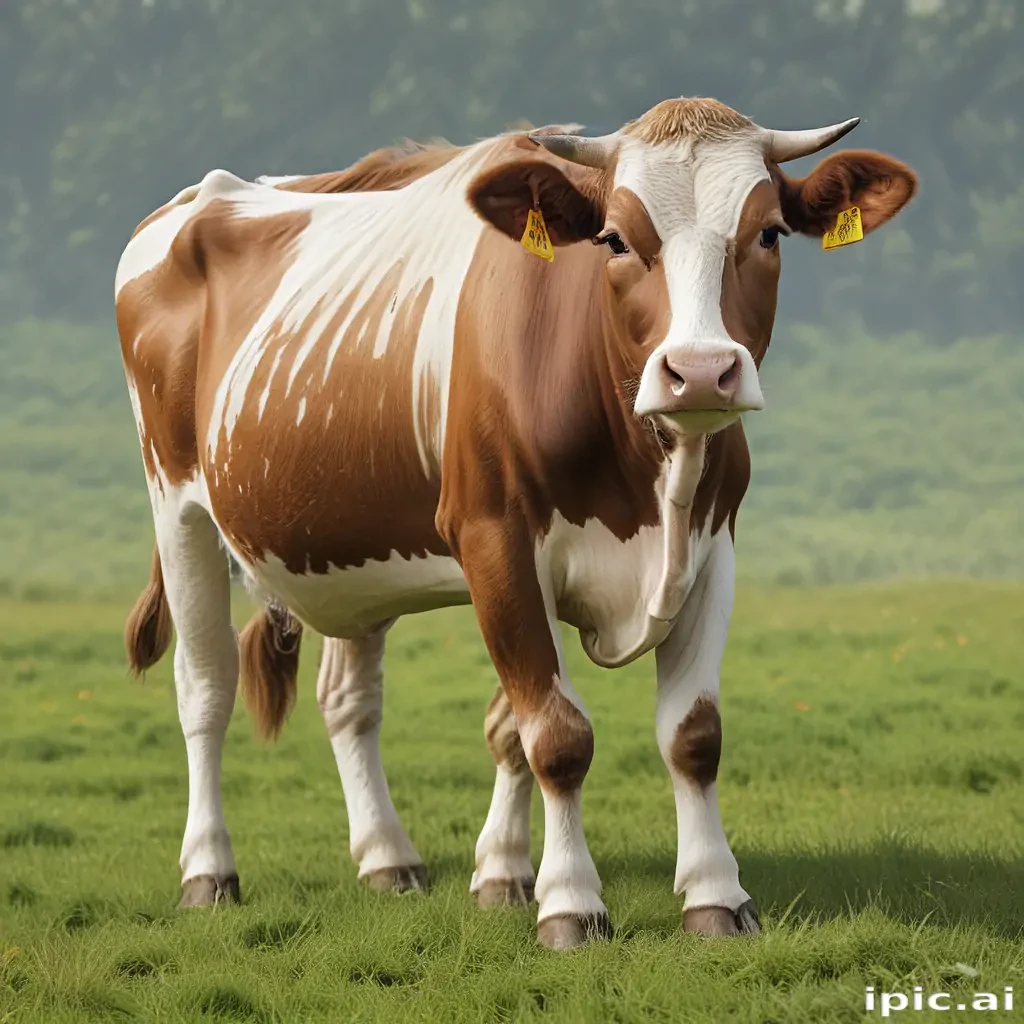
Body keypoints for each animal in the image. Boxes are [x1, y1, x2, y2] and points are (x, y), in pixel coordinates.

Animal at [116, 97, 916, 949]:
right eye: (615, 238)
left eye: (768, 233)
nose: (700, 370)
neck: (649, 475)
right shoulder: (495, 540)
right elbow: (556, 734)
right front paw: (568, 903)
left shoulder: (711, 548)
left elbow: (681, 734)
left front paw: (702, 893)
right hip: (178, 506)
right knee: (205, 688)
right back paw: (208, 871)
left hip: (345, 549)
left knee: (348, 698)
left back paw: (387, 857)